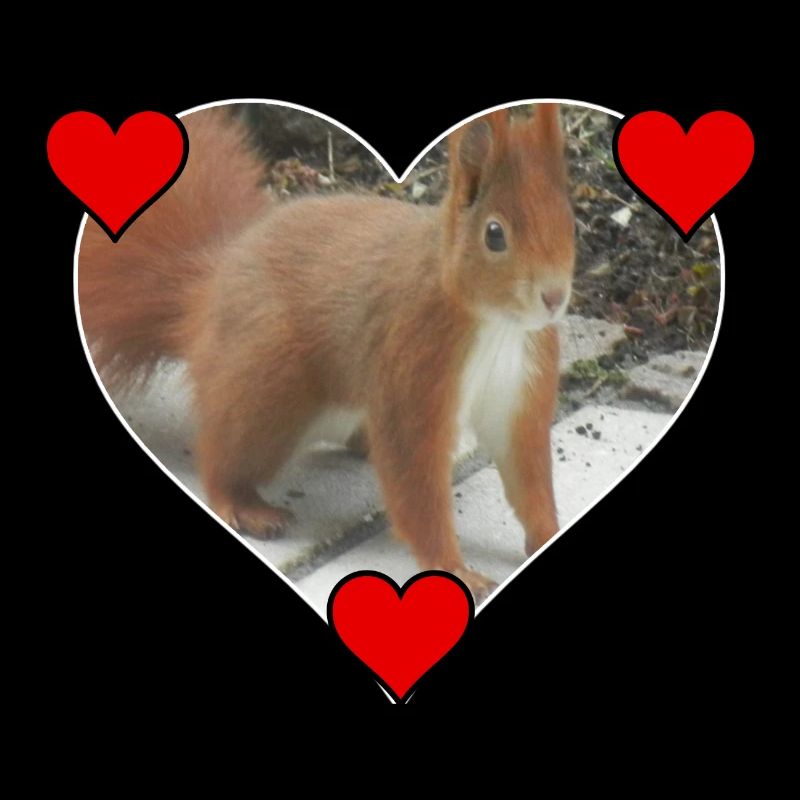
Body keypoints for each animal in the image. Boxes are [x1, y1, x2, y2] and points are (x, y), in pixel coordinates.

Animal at [78, 104, 575, 599]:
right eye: (495, 235)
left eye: (568, 220)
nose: (554, 297)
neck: (498, 325)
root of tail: (208, 290)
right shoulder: (413, 356)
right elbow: (413, 471)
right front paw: (454, 567)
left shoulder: (522, 385)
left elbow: (526, 469)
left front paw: (546, 533)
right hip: (267, 385)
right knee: (223, 455)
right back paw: (244, 504)